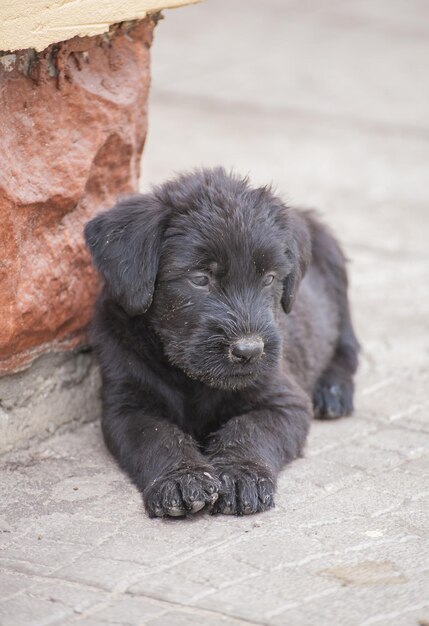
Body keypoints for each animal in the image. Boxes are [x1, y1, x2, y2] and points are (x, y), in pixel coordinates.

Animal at [83, 167, 358, 516]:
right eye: (200, 278)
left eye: (269, 278)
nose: (249, 351)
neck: (190, 379)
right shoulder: (126, 407)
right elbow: (159, 437)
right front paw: (182, 477)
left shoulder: (285, 400)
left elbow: (249, 429)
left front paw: (240, 475)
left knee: (348, 349)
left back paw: (332, 391)